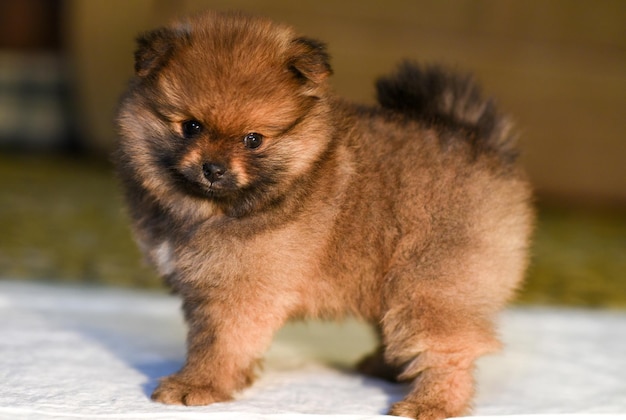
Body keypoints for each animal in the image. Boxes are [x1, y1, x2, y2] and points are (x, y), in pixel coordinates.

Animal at [113, 10, 532, 420]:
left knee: (445, 350)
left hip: (429, 284)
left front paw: (197, 385)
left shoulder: (241, 292)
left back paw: (430, 404)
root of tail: (481, 142)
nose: (213, 168)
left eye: (253, 139)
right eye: (191, 127)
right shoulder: (202, 287)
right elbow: (207, 340)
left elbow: (219, 344)